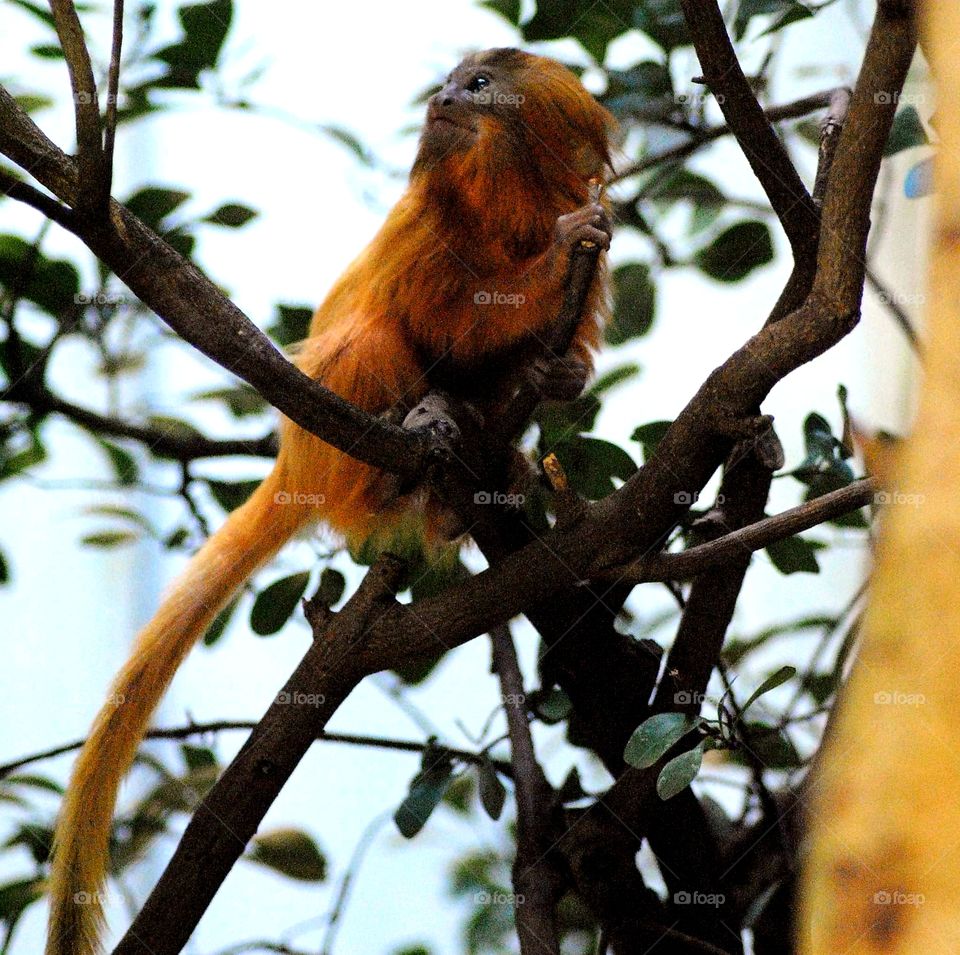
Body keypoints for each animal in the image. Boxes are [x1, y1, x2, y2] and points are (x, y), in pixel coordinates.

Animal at [45, 48, 615, 955]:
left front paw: (559, 374)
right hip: (331, 433)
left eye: (477, 86)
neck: (507, 203)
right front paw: (558, 254)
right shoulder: (425, 223)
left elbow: (543, 345)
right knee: (373, 333)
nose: (443, 97)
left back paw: (485, 466)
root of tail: (293, 455)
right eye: (454, 85)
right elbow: (441, 315)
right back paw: (414, 441)